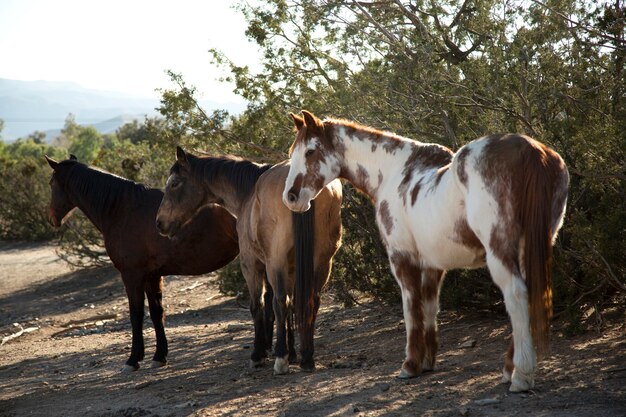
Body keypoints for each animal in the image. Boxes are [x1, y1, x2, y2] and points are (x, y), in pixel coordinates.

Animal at [44, 155, 239, 370]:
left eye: (51, 183)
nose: (51, 218)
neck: (122, 210)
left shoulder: (132, 275)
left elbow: (136, 314)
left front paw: (133, 359)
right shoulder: (152, 276)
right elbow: (156, 313)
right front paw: (159, 356)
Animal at [155, 147, 342, 374]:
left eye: (174, 183)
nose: (160, 223)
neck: (249, 193)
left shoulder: (251, 265)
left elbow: (259, 306)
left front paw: (259, 354)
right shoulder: (291, 269)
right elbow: (289, 308)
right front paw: (292, 353)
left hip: (276, 262)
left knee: (281, 302)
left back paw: (280, 359)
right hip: (322, 262)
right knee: (310, 300)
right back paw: (306, 358)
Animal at [282, 109, 572, 390]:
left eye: (310, 151)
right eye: (292, 152)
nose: (291, 197)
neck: (392, 173)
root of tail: (531, 150)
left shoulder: (402, 259)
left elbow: (412, 310)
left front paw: (410, 365)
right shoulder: (433, 265)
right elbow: (430, 308)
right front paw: (428, 361)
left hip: (500, 252)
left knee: (516, 295)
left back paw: (520, 375)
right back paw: (509, 370)